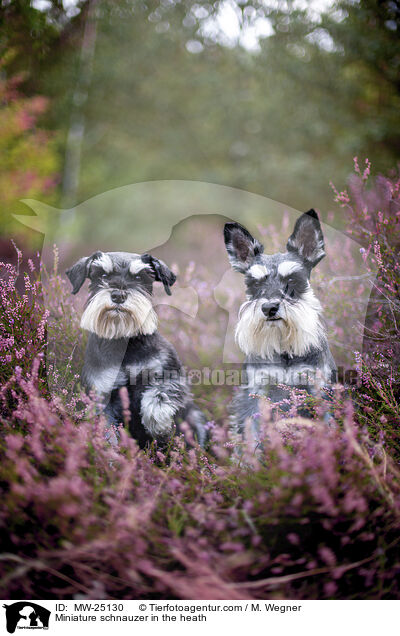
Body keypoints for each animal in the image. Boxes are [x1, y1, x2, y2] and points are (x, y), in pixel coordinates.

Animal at [65, 248, 206, 448]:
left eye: (140, 277)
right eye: (102, 275)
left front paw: (158, 423)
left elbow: (160, 394)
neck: (124, 342)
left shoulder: (169, 373)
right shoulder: (101, 392)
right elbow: (107, 428)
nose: (118, 295)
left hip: (196, 417)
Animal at [223, 209, 336, 438]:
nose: (269, 308)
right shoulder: (257, 392)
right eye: (255, 284)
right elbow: (252, 434)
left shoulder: (318, 387)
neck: (284, 349)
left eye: (292, 280)